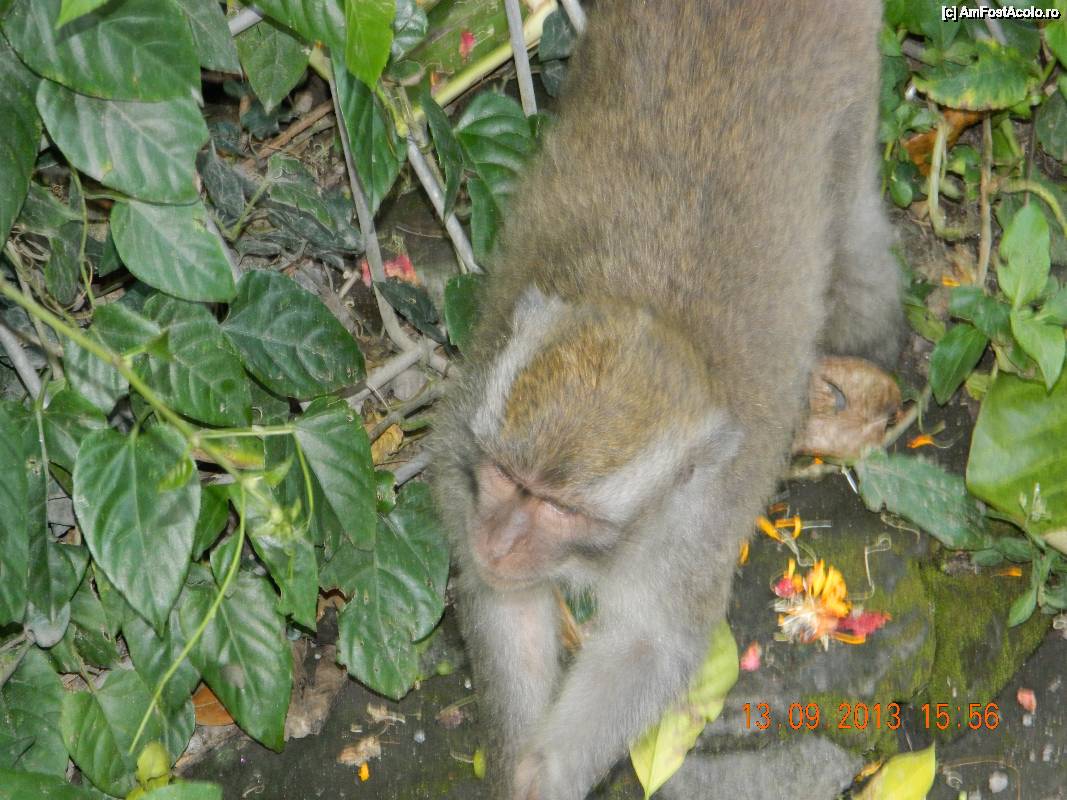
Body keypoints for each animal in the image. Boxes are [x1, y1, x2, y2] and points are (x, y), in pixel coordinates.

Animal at [430, 2, 900, 798]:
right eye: (504, 477)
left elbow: (649, 643)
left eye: (560, 508)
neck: (646, 310)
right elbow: (502, 597)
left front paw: (543, 773)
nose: (500, 539)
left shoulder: (693, 521)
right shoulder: (468, 428)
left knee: (853, 239)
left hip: (853, 87)